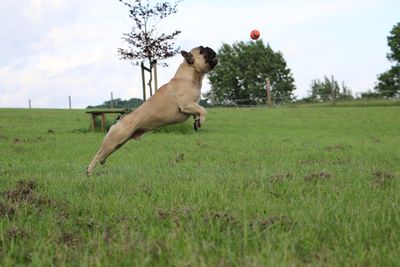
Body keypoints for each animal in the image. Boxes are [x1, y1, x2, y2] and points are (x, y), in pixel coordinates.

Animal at [86, 46, 219, 176]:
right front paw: (201, 120)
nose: (211, 49)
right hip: (114, 140)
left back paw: (99, 163)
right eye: (202, 51)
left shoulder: (192, 106)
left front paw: (197, 122)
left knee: (104, 154)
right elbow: (203, 110)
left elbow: (198, 112)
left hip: (118, 143)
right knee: (99, 153)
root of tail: (120, 120)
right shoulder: (187, 105)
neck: (191, 76)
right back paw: (89, 170)